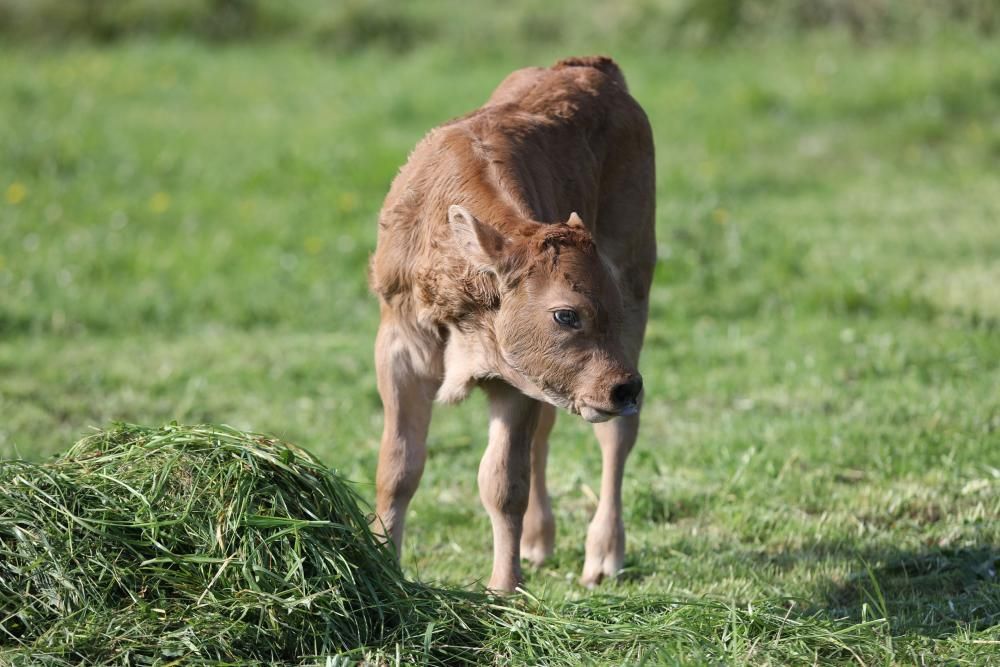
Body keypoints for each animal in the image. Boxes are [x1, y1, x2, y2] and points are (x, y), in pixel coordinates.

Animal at [370, 56, 656, 588]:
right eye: (566, 314)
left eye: (605, 306)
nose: (625, 387)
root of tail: (591, 69)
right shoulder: (400, 352)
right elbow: (398, 468)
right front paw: (383, 569)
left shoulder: (513, 379)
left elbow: (503, 483)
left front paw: (503, 589)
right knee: (547, 433)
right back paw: (539, 543)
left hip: (634, 300)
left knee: (616, 437)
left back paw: (603, 555)